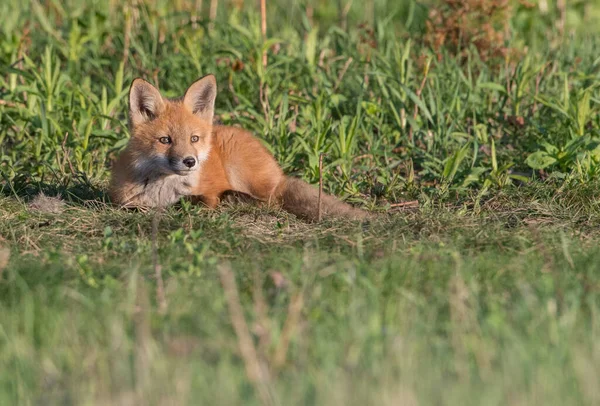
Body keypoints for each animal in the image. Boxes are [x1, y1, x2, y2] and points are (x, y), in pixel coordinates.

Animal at [109, 74, 368, 220]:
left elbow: (202, 200)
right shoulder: (121, 200)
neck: (164, 189)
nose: (190, 161)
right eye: (165, 140)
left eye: (194, 139)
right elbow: (132, 206)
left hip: (239, 167)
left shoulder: (209, 192)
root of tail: (279, 172)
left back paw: (236, 198)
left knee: (271, 202)